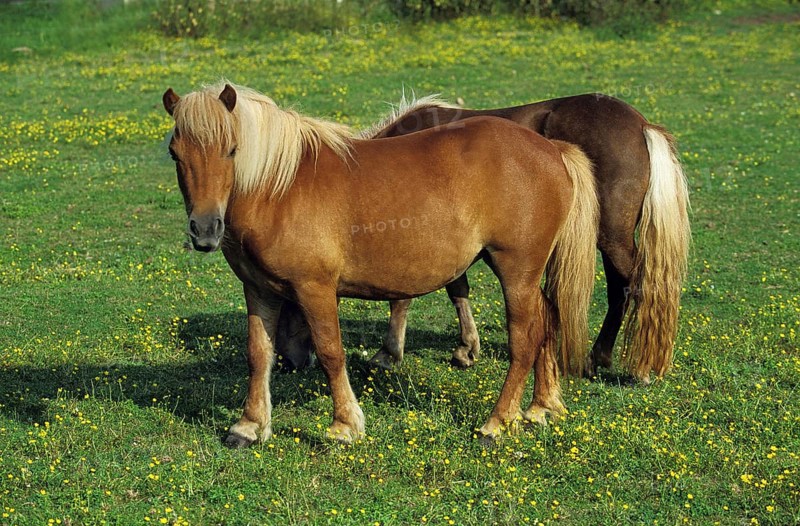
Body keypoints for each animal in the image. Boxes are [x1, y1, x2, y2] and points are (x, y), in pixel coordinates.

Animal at [162, 82, 599, 446]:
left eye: (231, 149)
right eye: (174, 154)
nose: (205, 229)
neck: (277, 189)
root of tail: (552, 149)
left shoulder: (314, 289)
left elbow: (330, 352)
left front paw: (345, 425)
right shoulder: (259, 290)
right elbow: (258, 354)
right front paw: (249, 426)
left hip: (515, 270)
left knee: (525, 339)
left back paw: (497, 422)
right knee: (547, 319)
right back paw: (541, 407)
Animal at [278, 93, 690, 384]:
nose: (289, 360)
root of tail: (642, 126)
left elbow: (404, 297)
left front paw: (389, 353)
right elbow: (457, 290)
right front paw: (466, 347)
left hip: (611, 237)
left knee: (638, 286)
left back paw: (632, 366)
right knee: (623, 288)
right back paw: (601, 358)